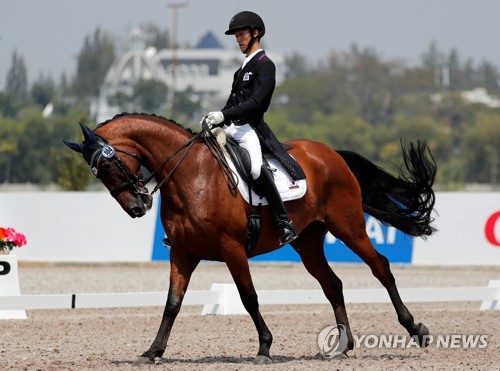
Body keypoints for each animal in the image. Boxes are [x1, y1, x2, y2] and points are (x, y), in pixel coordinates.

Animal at [64, 113, 436, 366]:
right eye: (97, 173)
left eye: (108, 165)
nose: (137, 207)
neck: (190, 176)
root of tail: (332, 154)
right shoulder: (182, 253)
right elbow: (172, 304)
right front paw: (153, 351)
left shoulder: (232, 249)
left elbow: (249, 297)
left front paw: (264, 347)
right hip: (308, 242)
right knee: (333, 284)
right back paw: (343, 345)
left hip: (350, 227)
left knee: (381, 268)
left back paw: (416, 330)